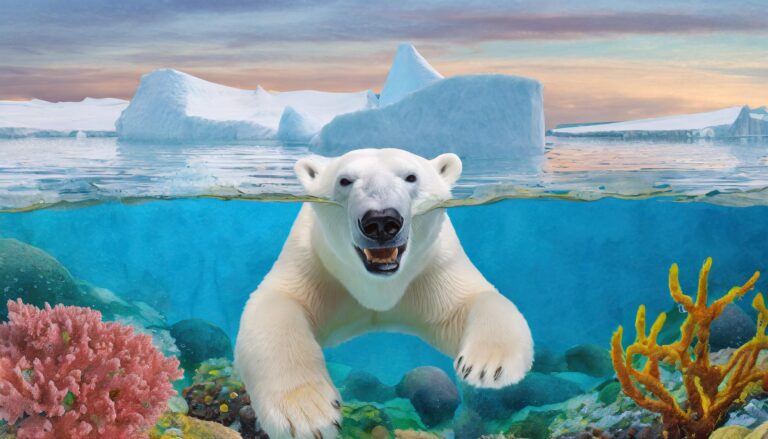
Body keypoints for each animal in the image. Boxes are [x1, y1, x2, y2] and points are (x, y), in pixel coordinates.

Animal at [235, 148, 533, 439]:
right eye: (345, 180)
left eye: (411, 177)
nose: (380, 221)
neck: (378, 284)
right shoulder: (316, 261)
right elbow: (278, 303)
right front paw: (307, 412)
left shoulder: (433, 266)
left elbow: (471, 301)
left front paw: (487, 366)